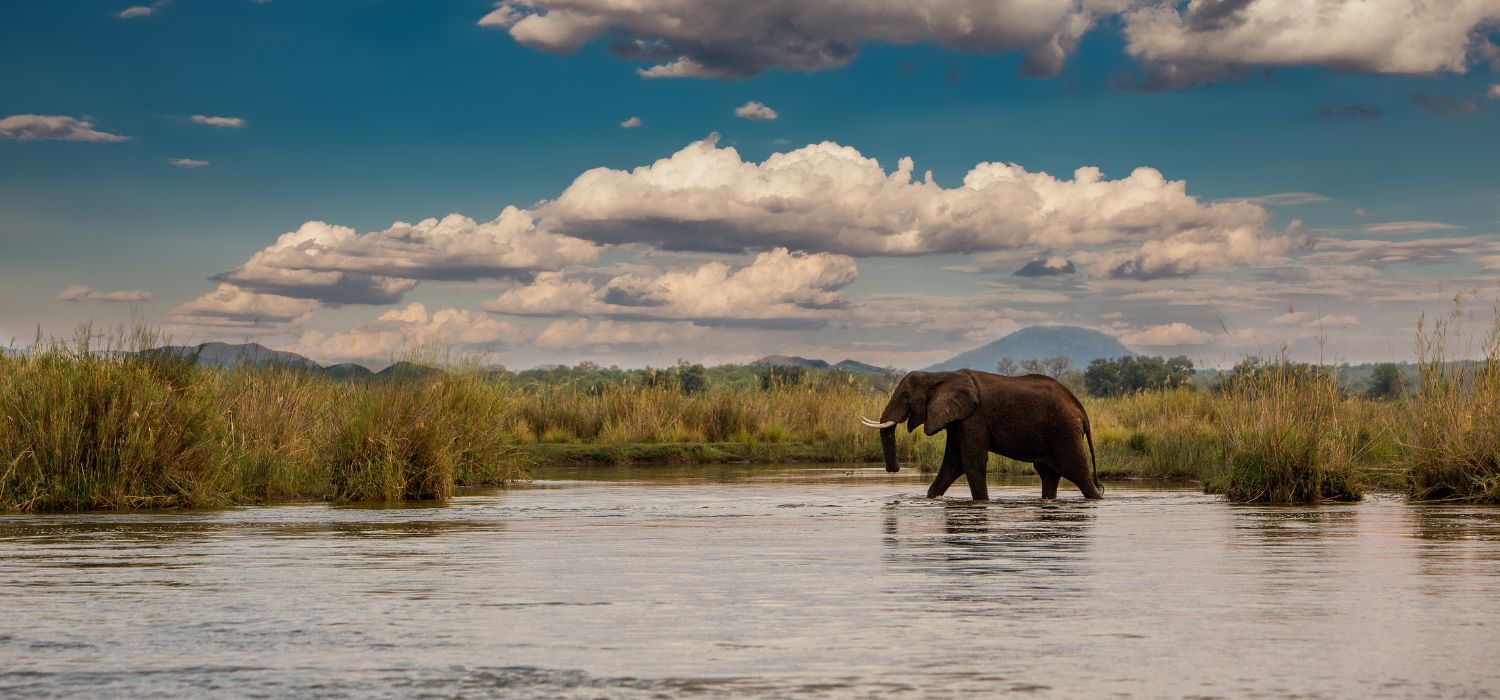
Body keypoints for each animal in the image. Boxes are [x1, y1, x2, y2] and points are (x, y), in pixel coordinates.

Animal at [858, 370, 1104, 500]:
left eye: (906, 396)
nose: (894, 470)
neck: (941, 376)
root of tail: (1081, 411)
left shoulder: (974, 417)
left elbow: (970, 461)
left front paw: (982, 503)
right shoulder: (958, 420)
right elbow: (953, 463)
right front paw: (932, 498)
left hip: (1064, 431)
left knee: (1077, 472)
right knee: (1048, 474)